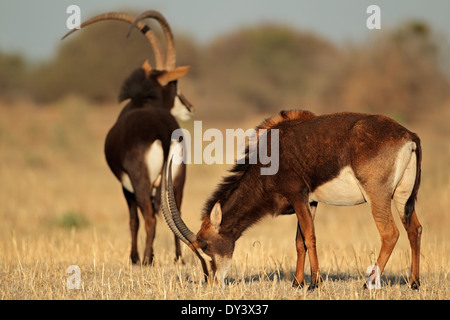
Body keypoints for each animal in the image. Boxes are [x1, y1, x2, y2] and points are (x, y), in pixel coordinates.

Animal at [61, 10, 192, 264]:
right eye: (175, 84)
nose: (189, 107)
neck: (144, 101)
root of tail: (162, 130)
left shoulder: (126, 186)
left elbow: (133, 220)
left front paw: (134, 258)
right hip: (177, 180)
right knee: (177, 214)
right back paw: (177, 259)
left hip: (140, 182)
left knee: (149, 217)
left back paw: (147, 260)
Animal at [162, 110, 422, 290]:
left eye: (205, 245)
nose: (213, 282)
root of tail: (408, 136)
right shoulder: (310, 201)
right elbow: (299, 241)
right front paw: (297, 282)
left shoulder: (298, 195)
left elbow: (309, 236)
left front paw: (315, 283)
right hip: (403, 196)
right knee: (414, 229)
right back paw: (414, 283)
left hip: (378, 195)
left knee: (389, 233)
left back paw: (368, 283)